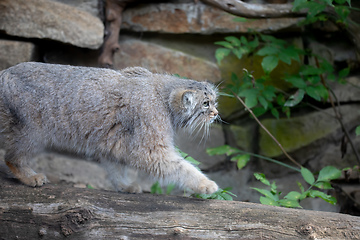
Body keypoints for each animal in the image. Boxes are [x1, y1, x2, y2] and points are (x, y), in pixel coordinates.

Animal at [0, 61, 219, 193]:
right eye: (206, 104)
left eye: (214, 101)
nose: (217, 113)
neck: (164, 98)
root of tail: (4, 72)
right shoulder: (150, 149)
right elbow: (181, 167)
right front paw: (205, 184)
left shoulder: (113, 142)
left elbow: (116, 168)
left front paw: (124, 186)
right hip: (33, 133)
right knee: (11, 158)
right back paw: (30, 177)